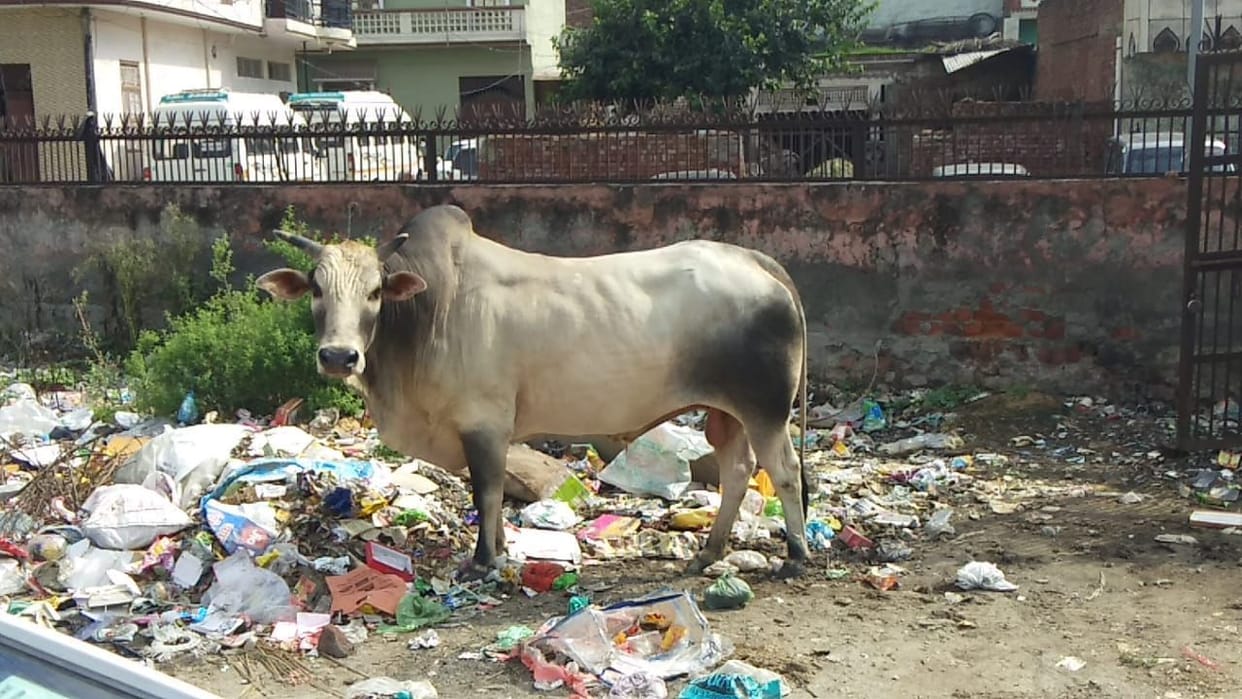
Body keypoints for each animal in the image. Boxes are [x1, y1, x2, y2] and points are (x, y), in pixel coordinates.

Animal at [256, 205, 812, 580]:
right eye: (317, 290)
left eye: (375, 292)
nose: (339, 356)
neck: (427, 314)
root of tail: (754, 260)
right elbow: (494, 493)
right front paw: (501, 548)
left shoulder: (482, 422)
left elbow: (486, 490)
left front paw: (483, 560)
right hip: (727, 412)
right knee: (738, 471)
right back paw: (711, 551)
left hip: (765, 408)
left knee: (783, 471)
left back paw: (796, 555)